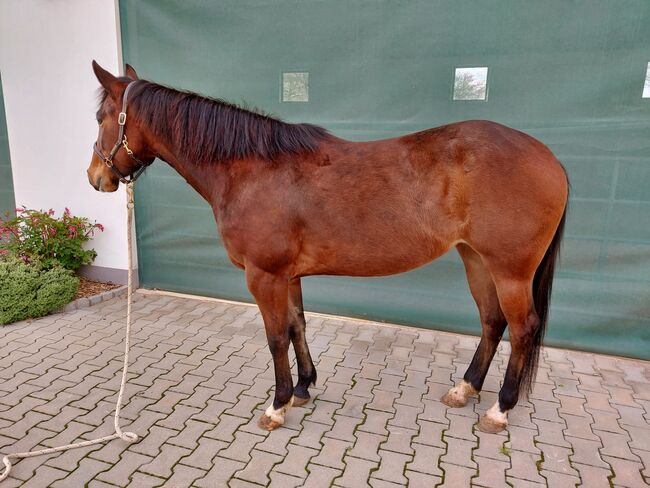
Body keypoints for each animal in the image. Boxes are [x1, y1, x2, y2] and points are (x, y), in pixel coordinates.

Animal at [87, 62, 568, 434]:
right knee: (491, 322)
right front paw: (302, 388)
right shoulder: (289, 275)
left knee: (522, 328)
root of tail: (548, 158)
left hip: (510, 270)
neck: (251, 170)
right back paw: (465, 388)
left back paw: (499, 409)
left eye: (100, 116)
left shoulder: (264, 275)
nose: (96, 177)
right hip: (476, 259)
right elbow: (298, 326)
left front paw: (277, 405)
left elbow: (276, 337)